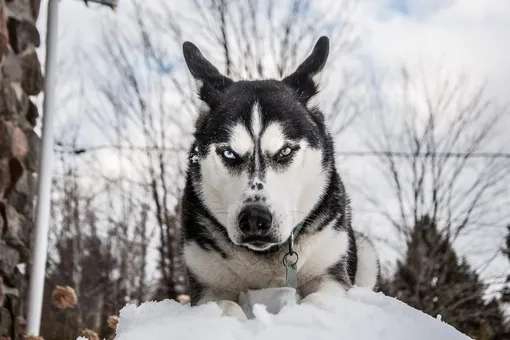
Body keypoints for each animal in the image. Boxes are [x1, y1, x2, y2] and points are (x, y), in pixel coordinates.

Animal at [179, 37, 378, 322]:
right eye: (229, 153)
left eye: (285, 151)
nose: (254, 218)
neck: (265, 257)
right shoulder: (208, 285)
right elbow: (224, 307)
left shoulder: (329, 275)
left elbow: (317, 300)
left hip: (365, 251)